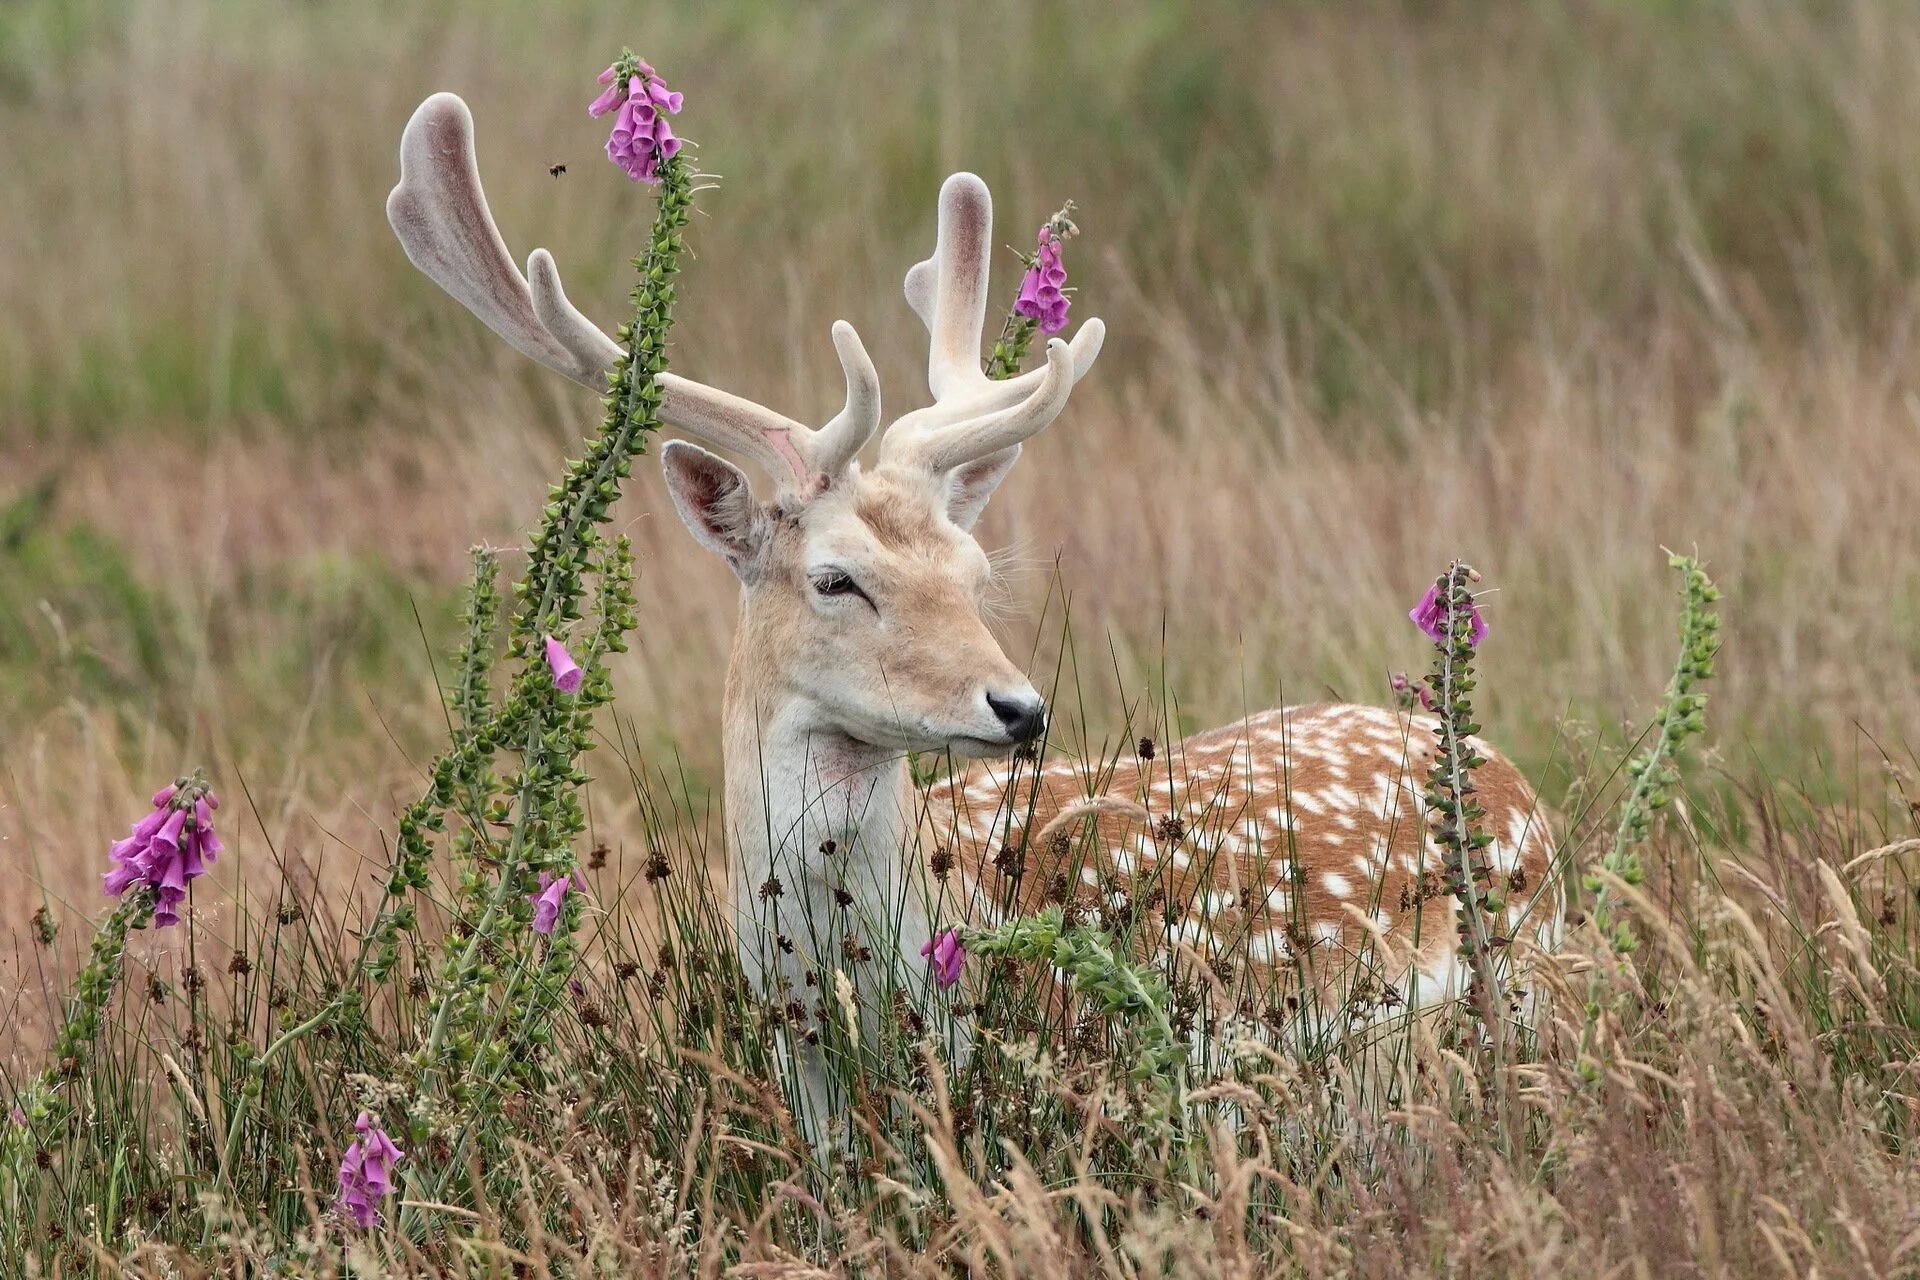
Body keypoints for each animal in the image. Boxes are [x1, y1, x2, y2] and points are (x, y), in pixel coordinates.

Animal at [385, 94, 1559, 1143]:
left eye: (972, 568)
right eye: (836, 579)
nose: (1020, 707)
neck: (853, 969)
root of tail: (1506, 773)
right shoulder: (797, 1059)